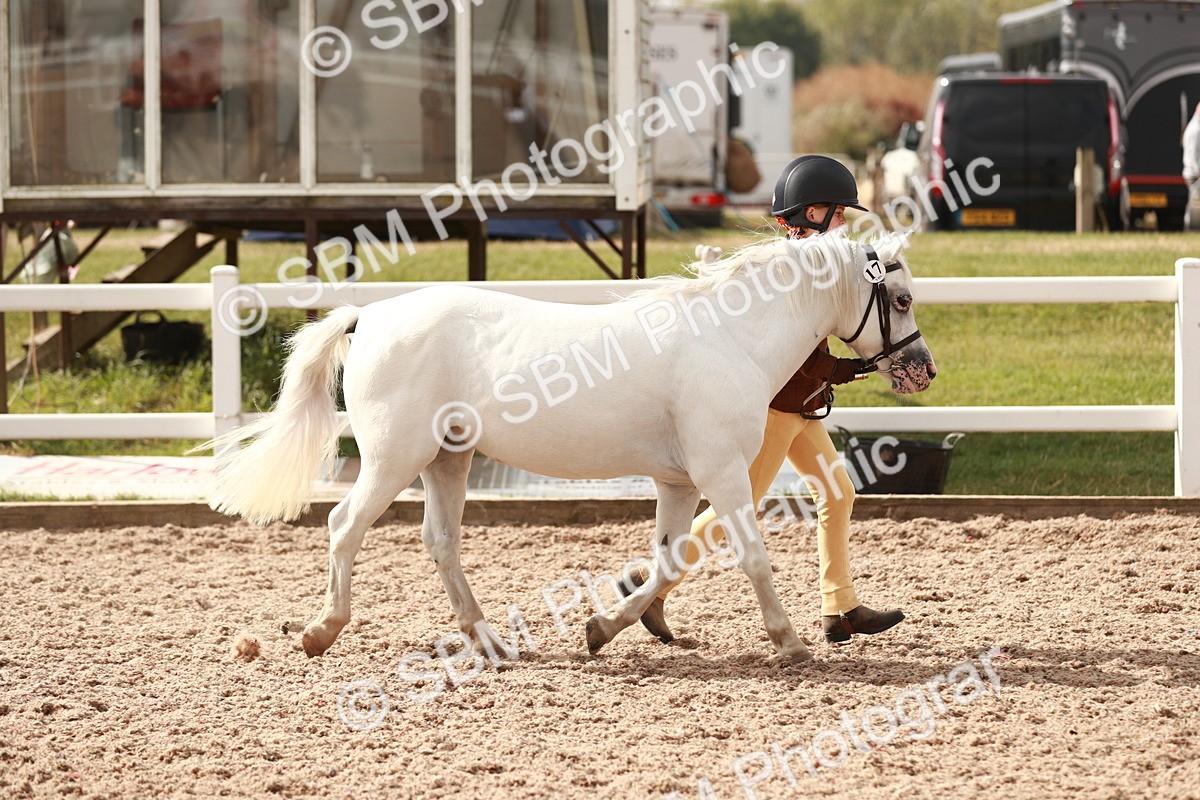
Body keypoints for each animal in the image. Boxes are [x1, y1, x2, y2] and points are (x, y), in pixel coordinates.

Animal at [204, 229, 936, 663]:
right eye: (899, 298)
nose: (922, 369)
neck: (730, 335)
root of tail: (372, 316)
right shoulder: (722, 473)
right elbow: (752, 556)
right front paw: (790, 642)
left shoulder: (679, 483)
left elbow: (669, 561)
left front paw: (602, 628)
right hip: (394, 460)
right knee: (343, 526)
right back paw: (321, 631)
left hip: (448, 459)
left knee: (441, 543)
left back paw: (490, 641)